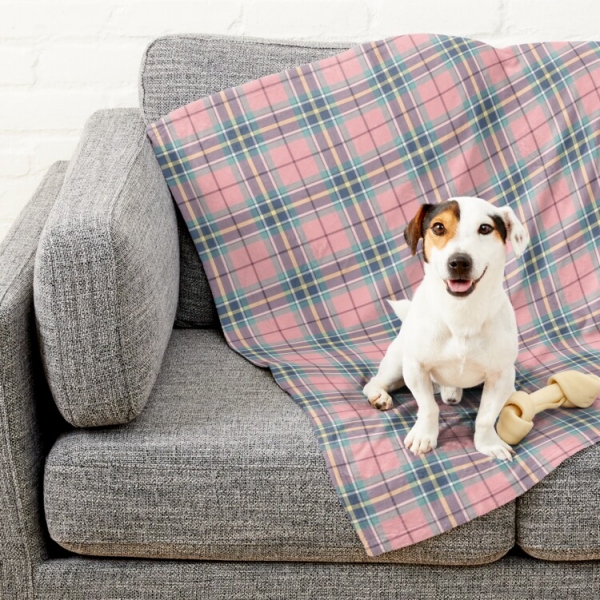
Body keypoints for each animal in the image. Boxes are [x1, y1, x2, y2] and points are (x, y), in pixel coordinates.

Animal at [364, 197, 528, 460]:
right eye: (439, 227)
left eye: (485, 228)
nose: (459, 261)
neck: (461, 314)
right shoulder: (416, 368)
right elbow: (428, 407)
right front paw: (424, 436)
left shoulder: (500, 375)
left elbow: (486, 416)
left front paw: (488, 444)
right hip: (397, 364)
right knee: (374, 382)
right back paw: (379, 396)